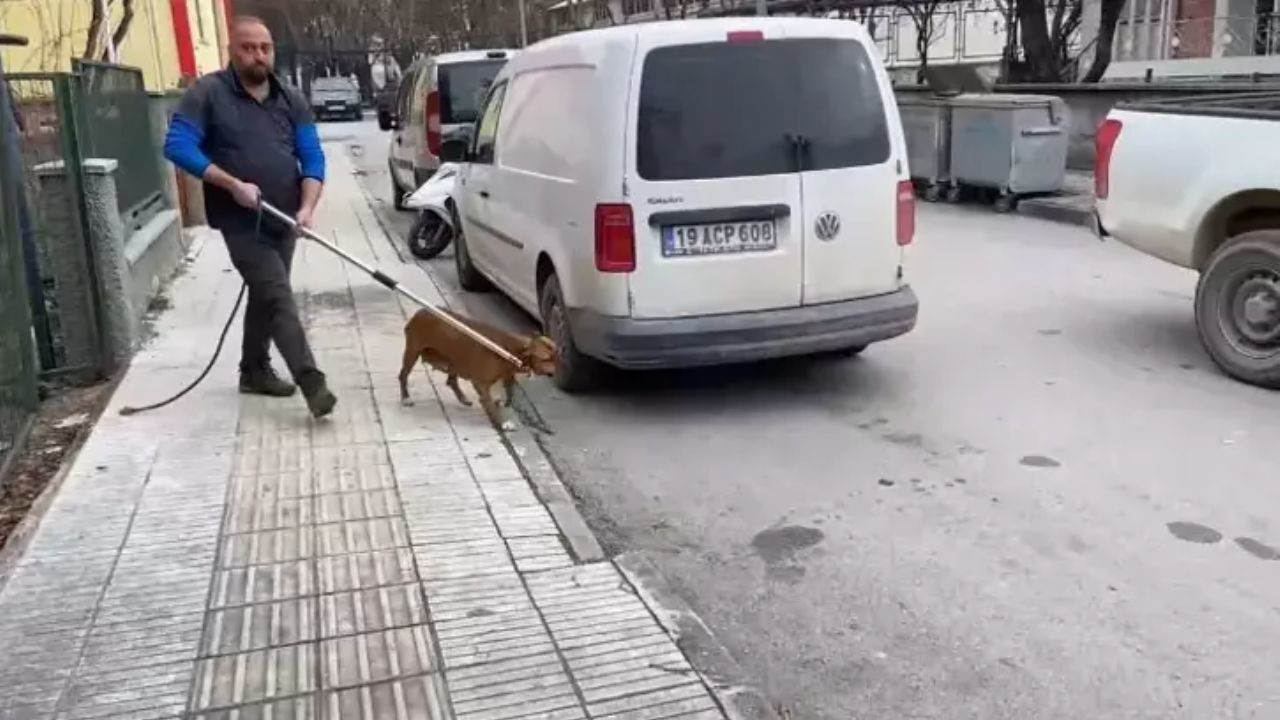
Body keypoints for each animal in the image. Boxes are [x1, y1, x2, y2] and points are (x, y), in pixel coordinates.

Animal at [396, 308, 558, 425]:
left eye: (557, 358)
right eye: (545, 359)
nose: (554, 373)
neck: (510, 351)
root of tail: (421, 311)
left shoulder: (508, 376)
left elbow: (510, 392)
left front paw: (505, 403)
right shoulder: (481, 383)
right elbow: (489, 403)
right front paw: (502, 422)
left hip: (455, 359)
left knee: (451, 380)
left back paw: (462, 398)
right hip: (412, 352)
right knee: (403, 375)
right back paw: (405, 397)